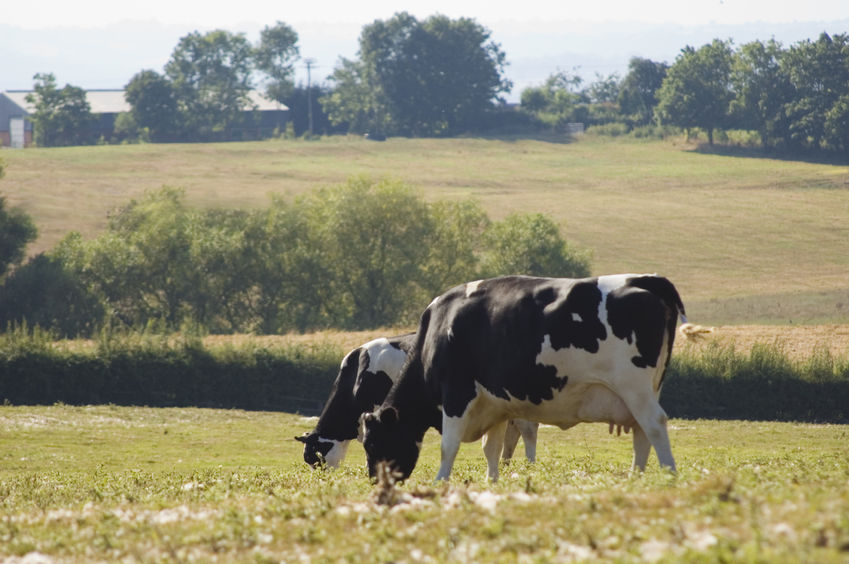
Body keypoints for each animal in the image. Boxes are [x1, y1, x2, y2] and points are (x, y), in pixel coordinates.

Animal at [360, 274, 688, 480]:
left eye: (372, 444)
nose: (377, 482)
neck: (437, 331)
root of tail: (644, 280)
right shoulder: (494, 404)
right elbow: (491, 449)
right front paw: (491, 481)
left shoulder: (457, 395)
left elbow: (448, 447)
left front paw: (441, 482)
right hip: (643, 391)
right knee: (641, 432)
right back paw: (637, 477)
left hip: (634, 387)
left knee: (654, 425)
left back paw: (668, 475)